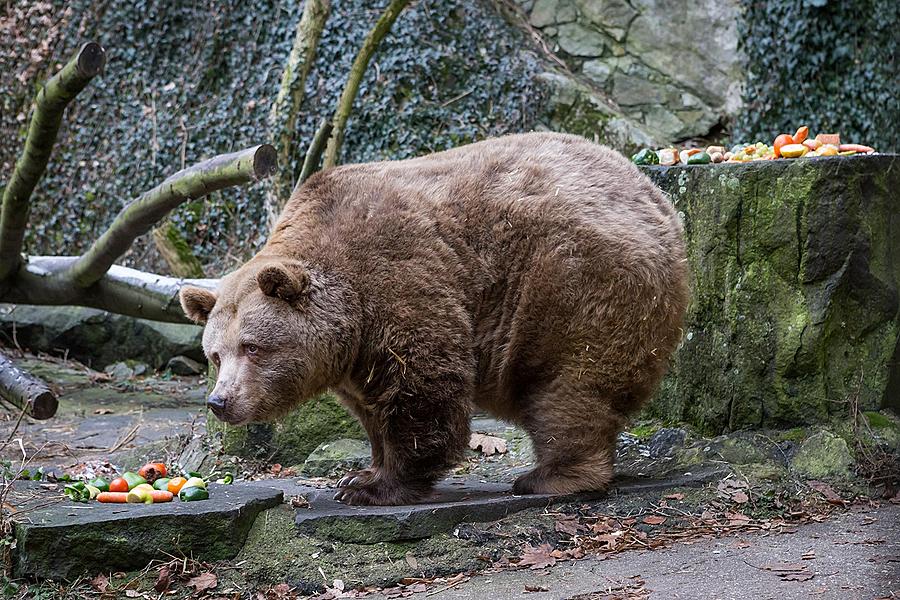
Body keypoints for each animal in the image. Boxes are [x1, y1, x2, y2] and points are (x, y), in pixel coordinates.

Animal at [181, 131, 688, 506]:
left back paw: (552, 476)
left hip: (573, 284)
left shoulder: (397, 278)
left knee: (569, 384)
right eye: (215, 355)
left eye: (253, 346)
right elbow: (371, 406)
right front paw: (362, 473)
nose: (220, 401)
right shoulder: (356, 352)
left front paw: (378, 486)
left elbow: (421, 385)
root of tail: (656, 199)